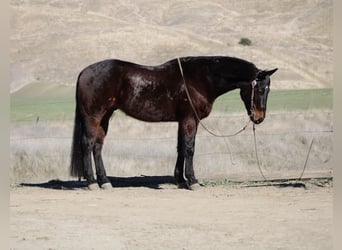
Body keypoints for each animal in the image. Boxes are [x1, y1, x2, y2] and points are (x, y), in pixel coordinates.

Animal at [70, 56, 278, 189]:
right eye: (260, 89)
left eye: (268, 90)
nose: (259, 118)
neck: (200, 79)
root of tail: (84, 72)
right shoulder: (190, 119)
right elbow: (189, 148)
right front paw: (192, 181)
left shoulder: (183, 120)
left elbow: (180, 147)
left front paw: (180, 179)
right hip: (93, 117)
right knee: (87, 144)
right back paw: (91, 182)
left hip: (105, 117)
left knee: (97, 147)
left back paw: (104, 181)